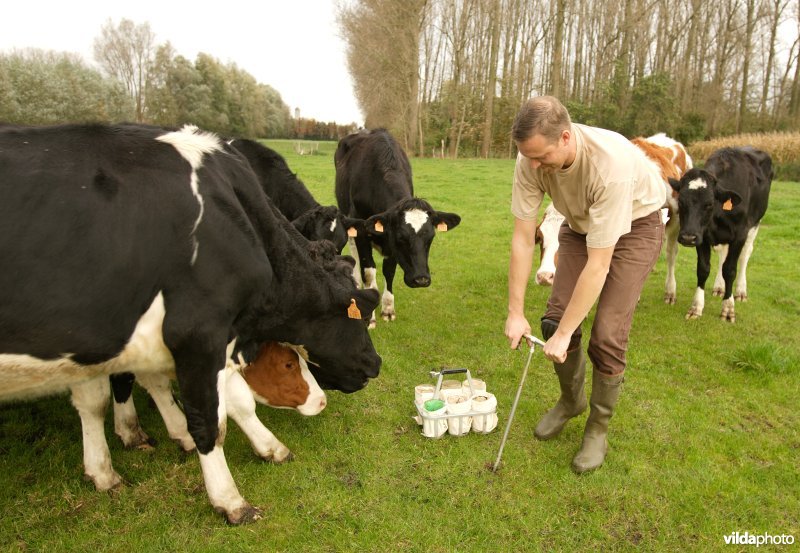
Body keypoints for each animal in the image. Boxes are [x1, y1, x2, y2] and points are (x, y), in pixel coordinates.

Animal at [332, 128, 460, 328]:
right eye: (402, 237)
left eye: (430, 238)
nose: (421, 279)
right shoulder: (363, 231)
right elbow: (369, 271)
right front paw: (370, 317)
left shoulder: (390, 244)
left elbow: (389, 271)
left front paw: (388, 309)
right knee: (355, 253)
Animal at [668, 147, 776, 322]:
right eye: (681, 202)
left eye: (709, 204)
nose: (688, 237)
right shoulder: (702, 236)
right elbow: (703, 269)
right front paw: (696, 307)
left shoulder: (739, 235)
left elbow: (730, 270)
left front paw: (728, 308)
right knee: (722, 253)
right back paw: (719, 287)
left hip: (756, 223)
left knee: (745, 254)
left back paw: (740, 291)